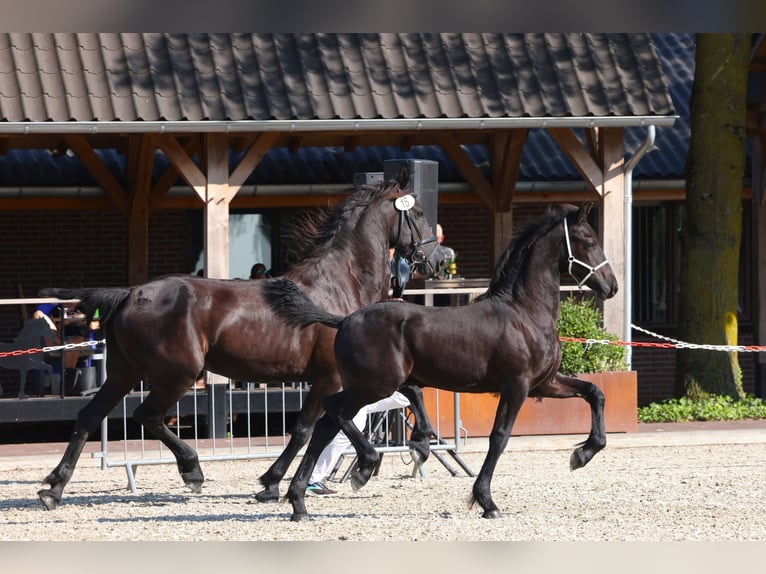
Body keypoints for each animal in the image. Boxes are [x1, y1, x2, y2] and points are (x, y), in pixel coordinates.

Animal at [36, 177, 438, 512]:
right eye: (418, 213)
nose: (437, 259)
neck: (339, 287)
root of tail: (130, 293)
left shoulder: (365, 374)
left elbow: (411, 391)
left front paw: (422, 441)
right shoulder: (332, 378)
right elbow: (307, 429)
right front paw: (281, 482)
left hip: (124, 371)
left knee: (90, 417)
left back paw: (53, 489)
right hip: (176, 374)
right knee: (146, 415)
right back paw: (192, 470)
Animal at [264, 202, 616, 520]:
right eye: (590, 242)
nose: (611, 286)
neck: (524, 313)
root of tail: (344, 320)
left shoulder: (544, 384)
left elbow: (595, 393)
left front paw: (582, 454)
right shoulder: (517, 385)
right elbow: (499, 438)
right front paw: (486, 501)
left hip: (367, 387)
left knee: (326, 425)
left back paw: (298, 502)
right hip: (374, 385)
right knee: (332, 411)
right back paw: (362, 466)